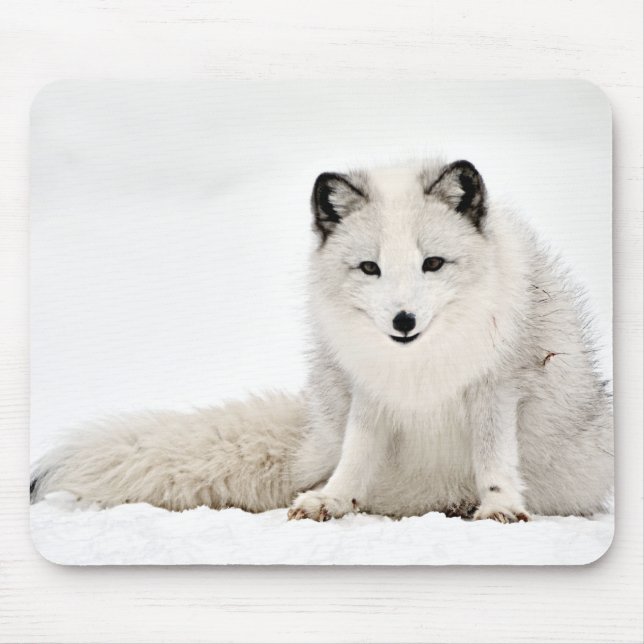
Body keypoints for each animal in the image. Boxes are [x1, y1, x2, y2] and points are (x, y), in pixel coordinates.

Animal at [30, 159, 613, 523]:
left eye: (432, 263)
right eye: (370, 268)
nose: (403, 320)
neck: (418, 366)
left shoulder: (497, 387)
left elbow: (494, 457)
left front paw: (499, 507)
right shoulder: (369, 393)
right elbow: (356, 455)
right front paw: (332, 500)